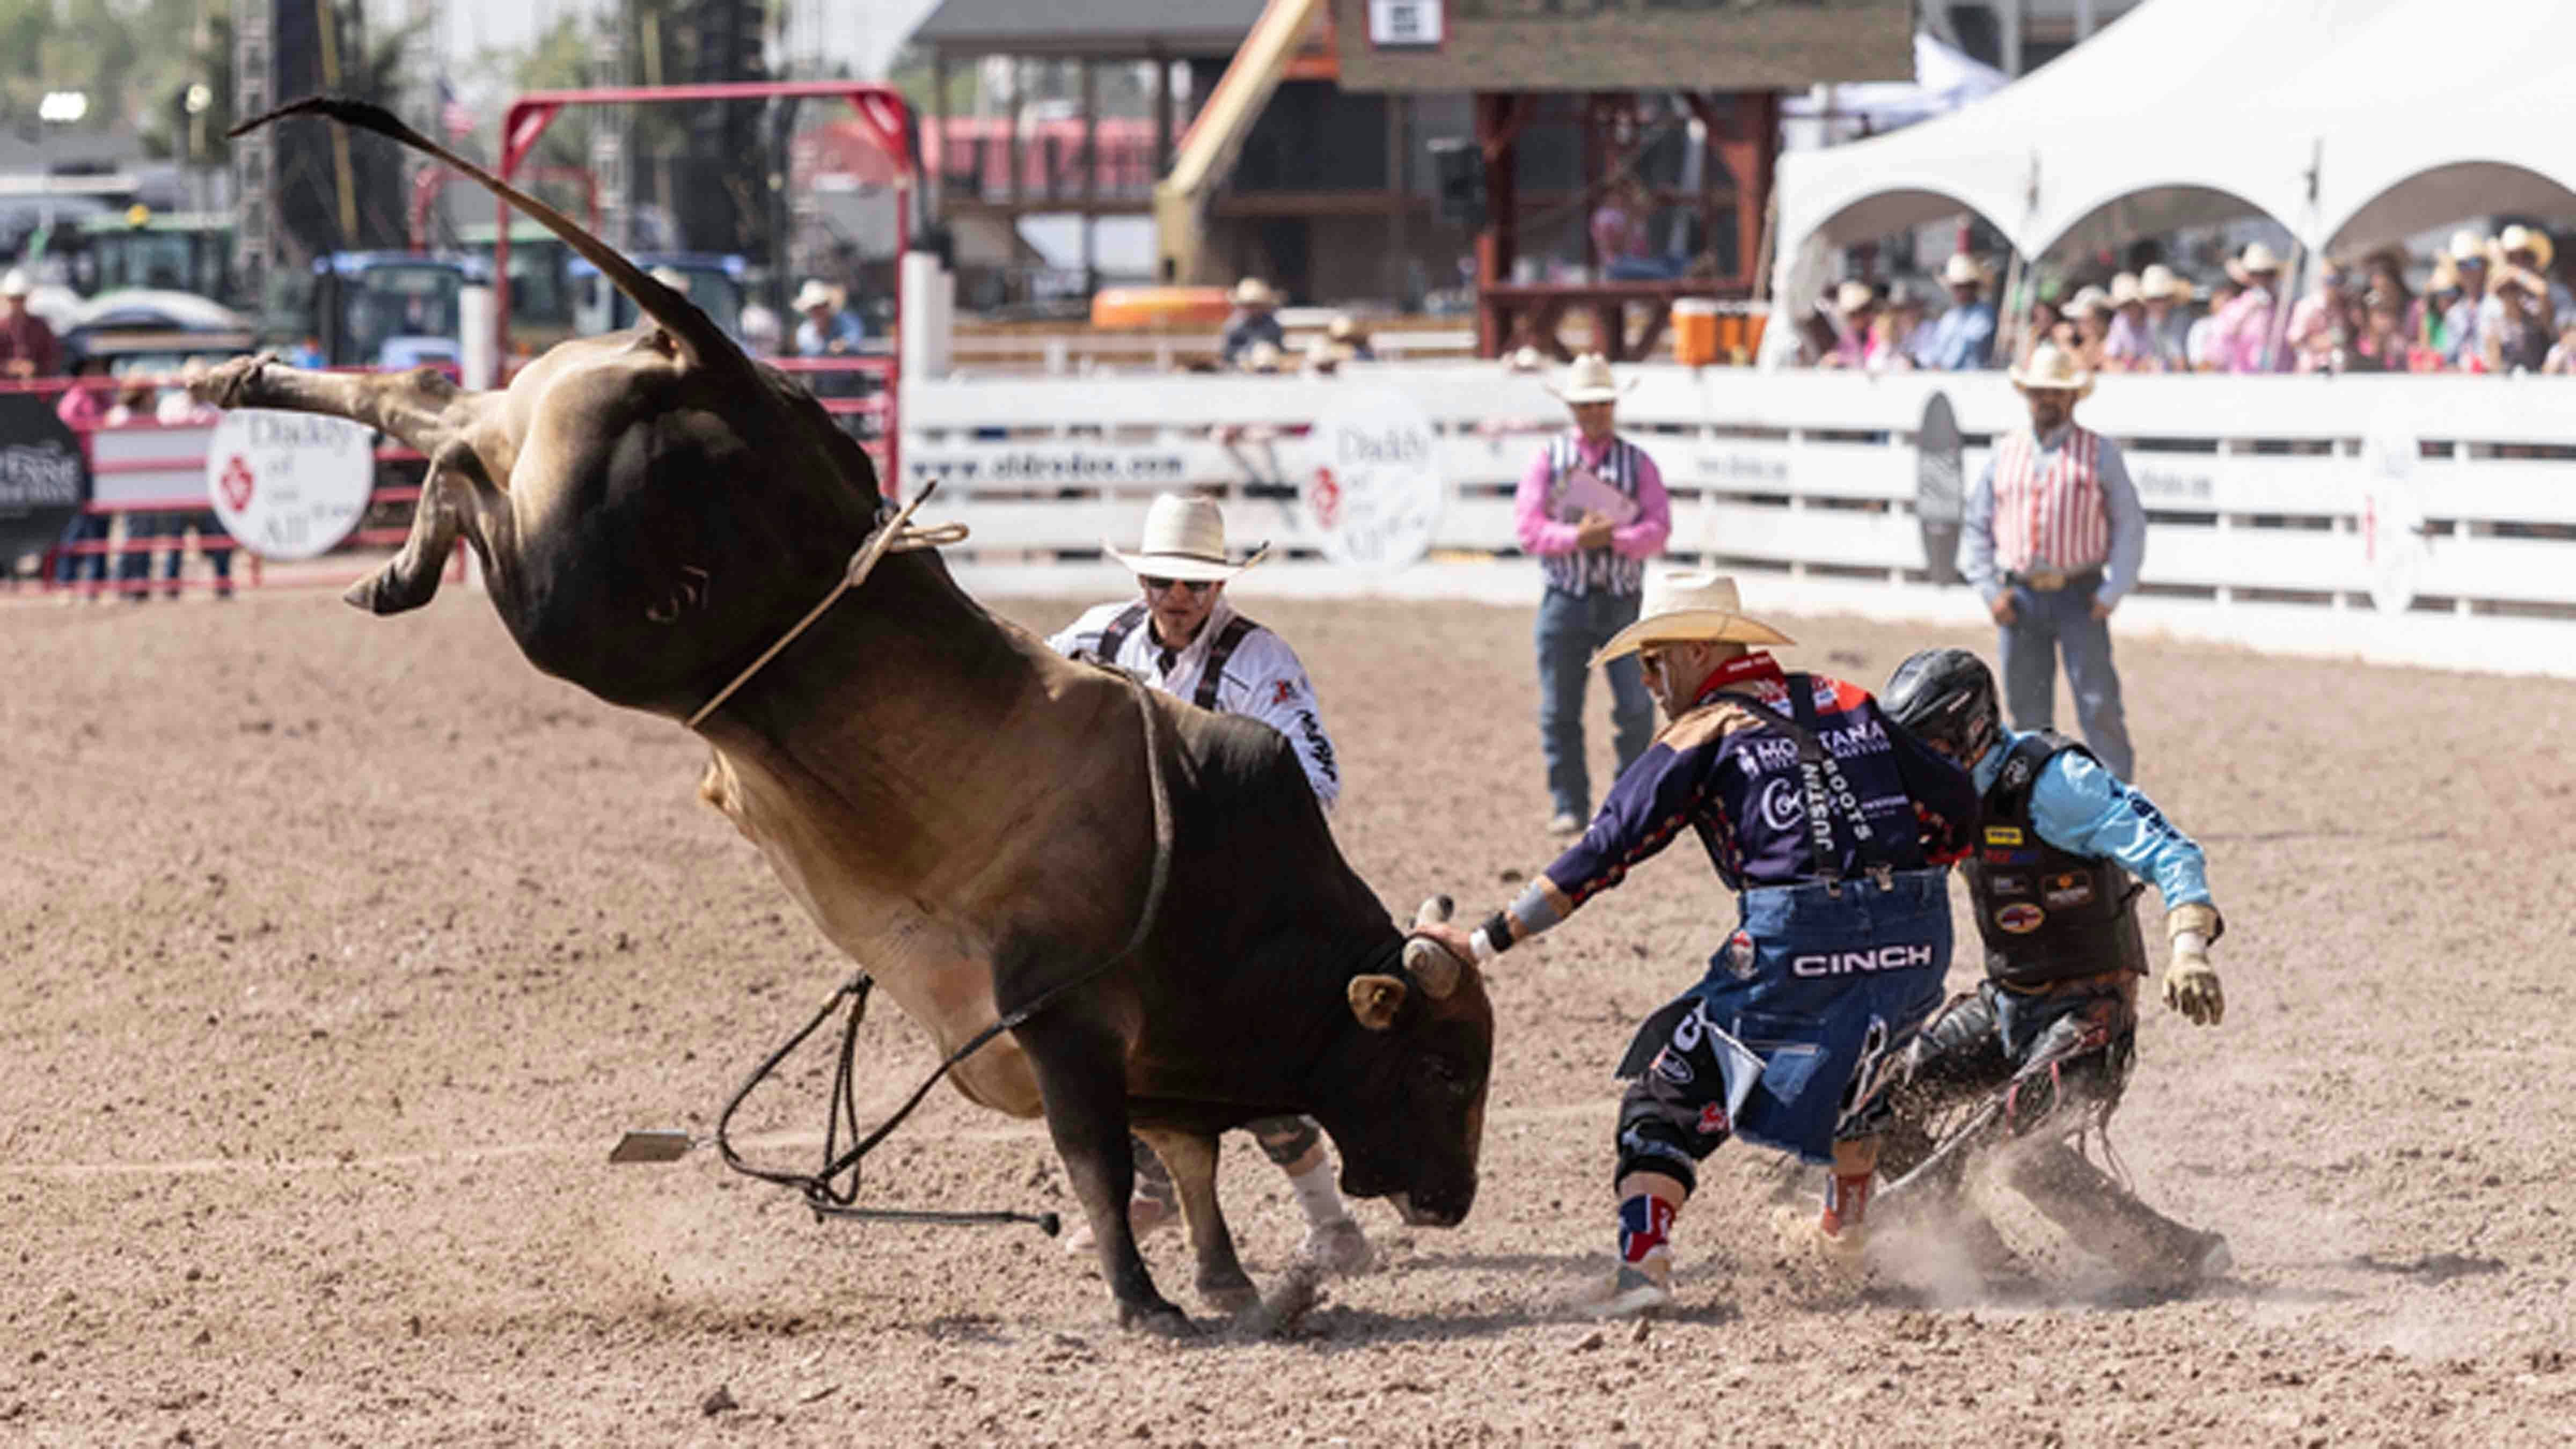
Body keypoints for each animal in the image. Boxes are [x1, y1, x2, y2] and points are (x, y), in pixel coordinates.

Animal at [201, 96, 1504, 1330]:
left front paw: (1231, 1279)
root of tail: (723, 371)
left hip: (544, 437)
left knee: (431, 402)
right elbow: (1101, 1160)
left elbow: (1188, 1157)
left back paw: (256, 397)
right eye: (1443, 1071)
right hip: (572, 601)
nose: (1454, 1201)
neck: (1215, 877)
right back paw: (389, 547)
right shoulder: (1066, 1020)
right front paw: (1148, 1302)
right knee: (456, 471)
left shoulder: (1156, 1058)